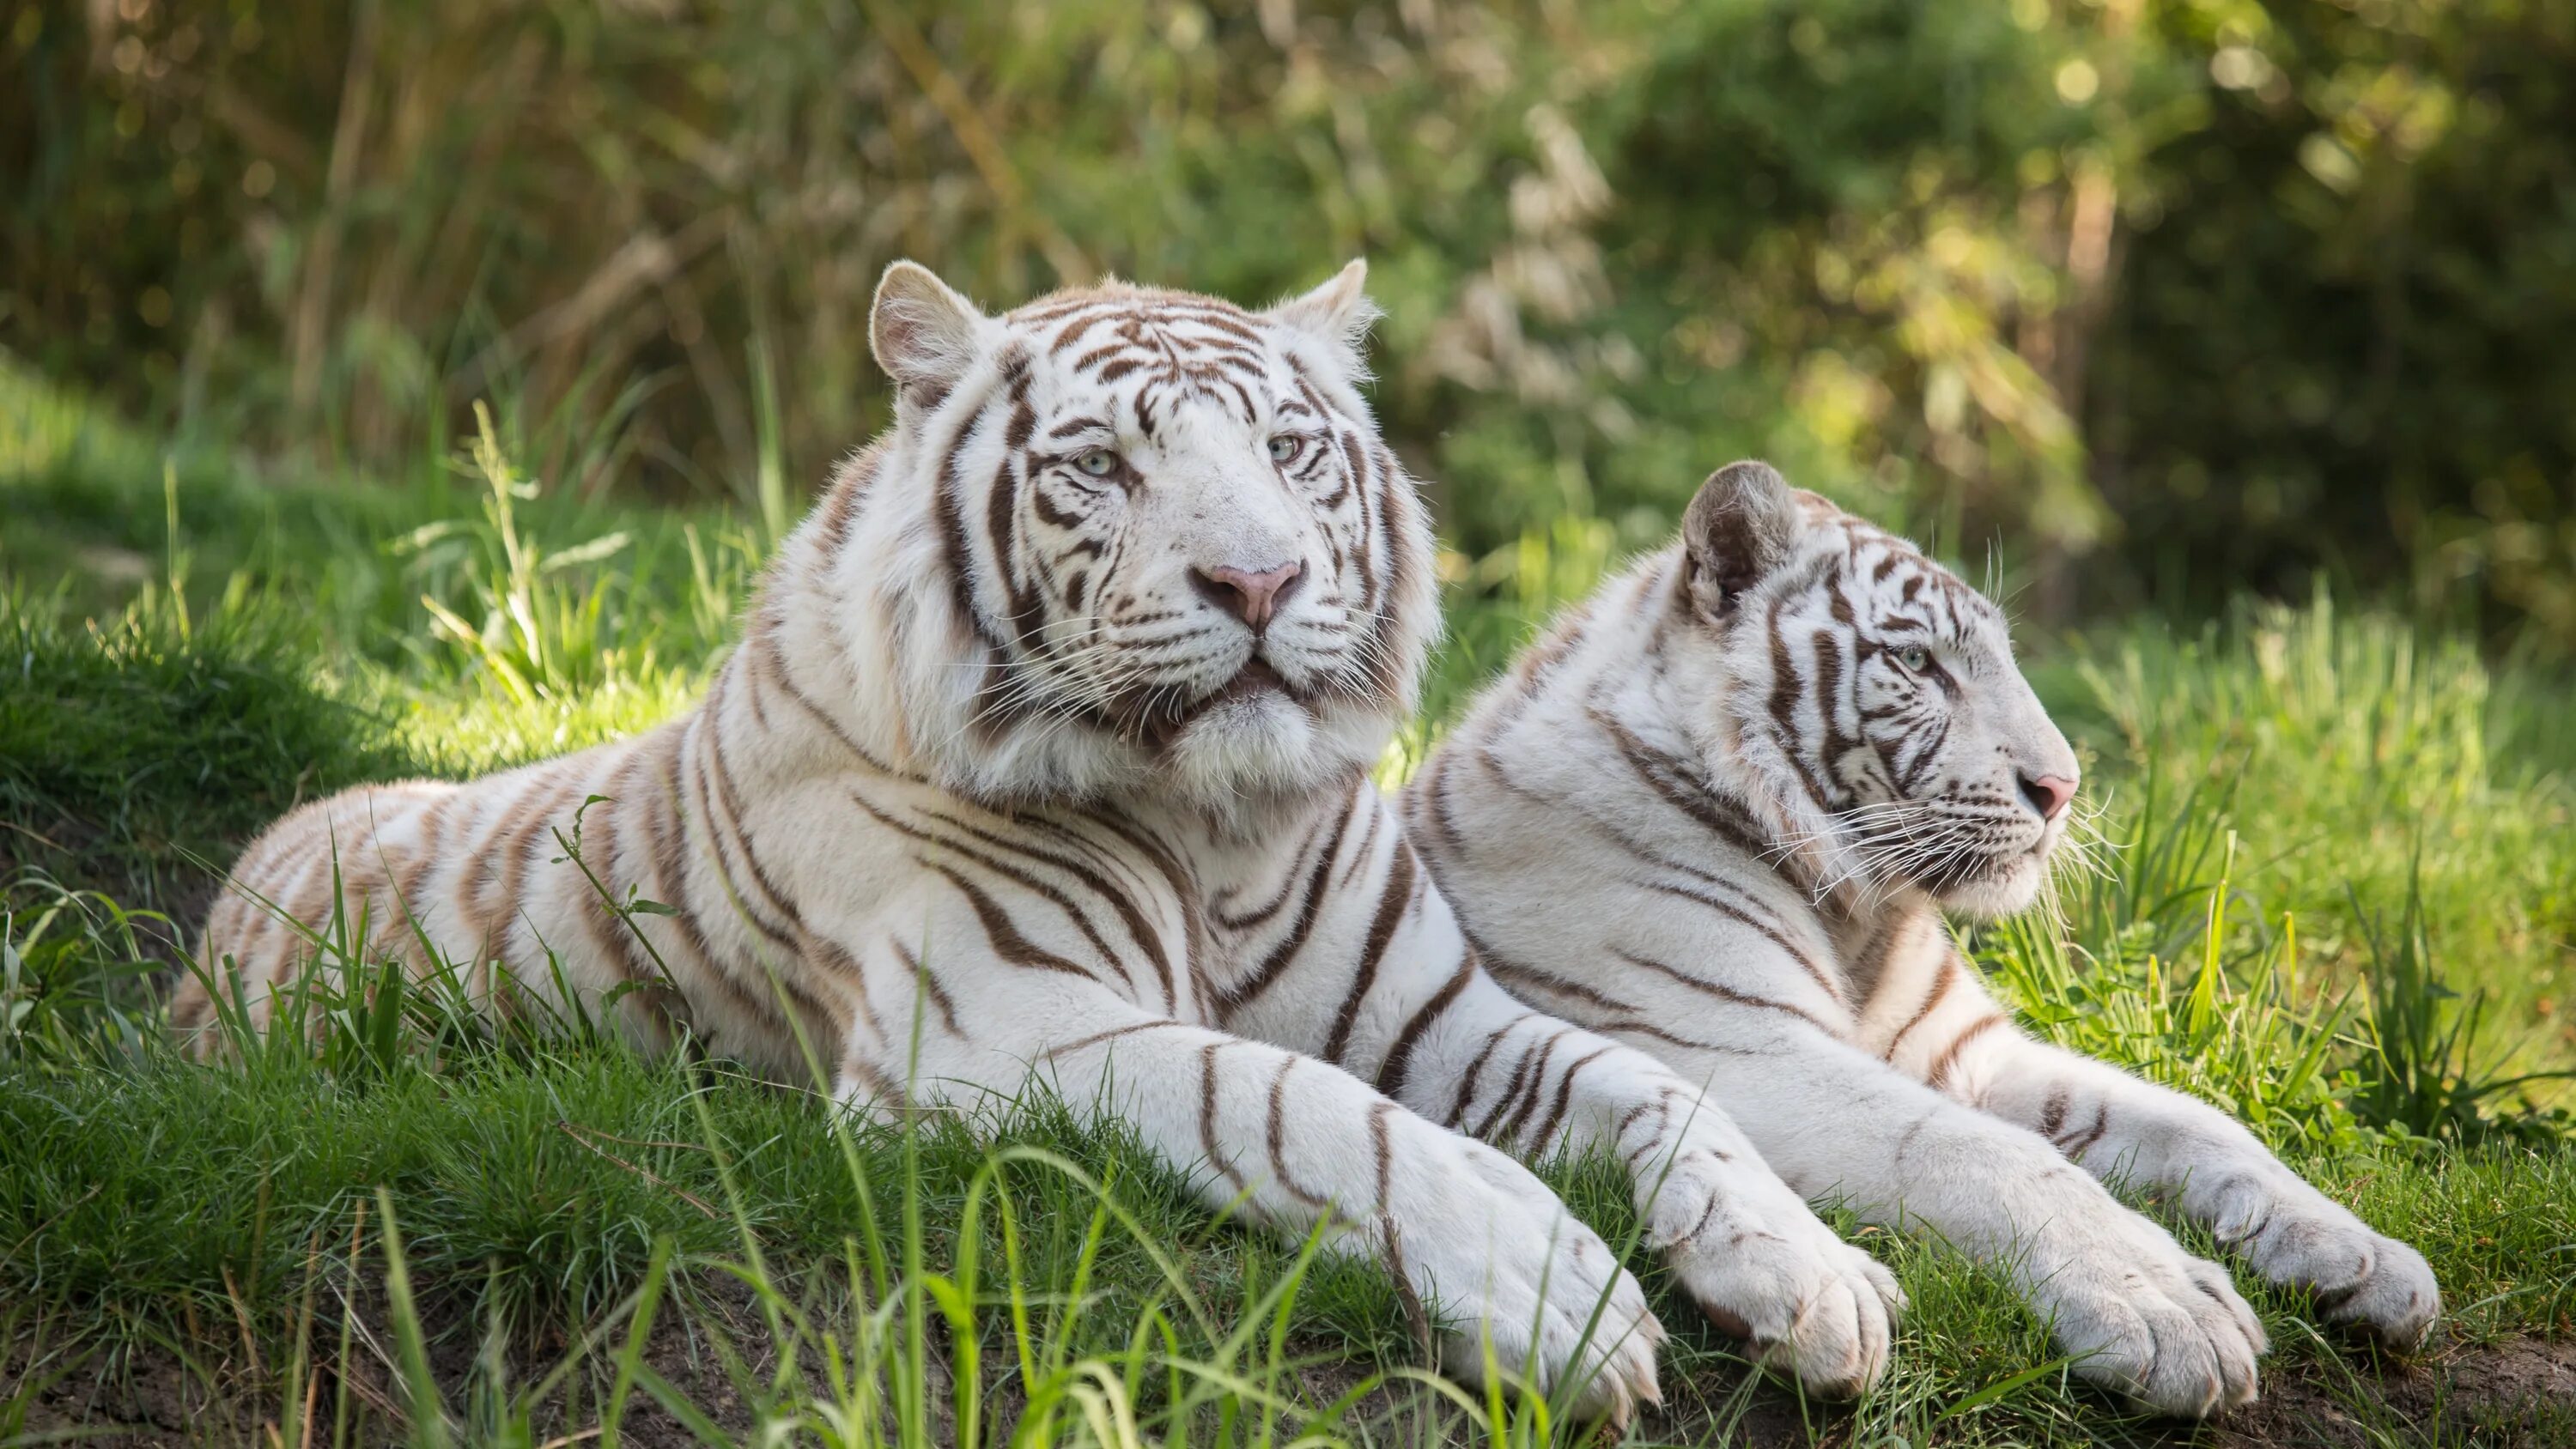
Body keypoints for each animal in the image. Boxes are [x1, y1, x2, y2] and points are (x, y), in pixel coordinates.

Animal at [181, 269, 1906, 1421]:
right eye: (1101, 466)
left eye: (1290, 451)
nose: (1259, 582)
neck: (1218, 826)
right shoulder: (1000, 1029)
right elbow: (1297, 1105)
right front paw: (1567, 1301)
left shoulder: (1443, 1018)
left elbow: (1660, 1088)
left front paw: (1818, 1277)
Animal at [1412, 463, 2432, 1421]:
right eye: (1917, 663)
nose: (2063, 787)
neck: (1859, 913)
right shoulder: (1733, 1043)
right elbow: (1996, 1157)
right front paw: (2169, 1307)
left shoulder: (1965, 1052)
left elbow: (2195, 1121)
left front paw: (2365, 1256)